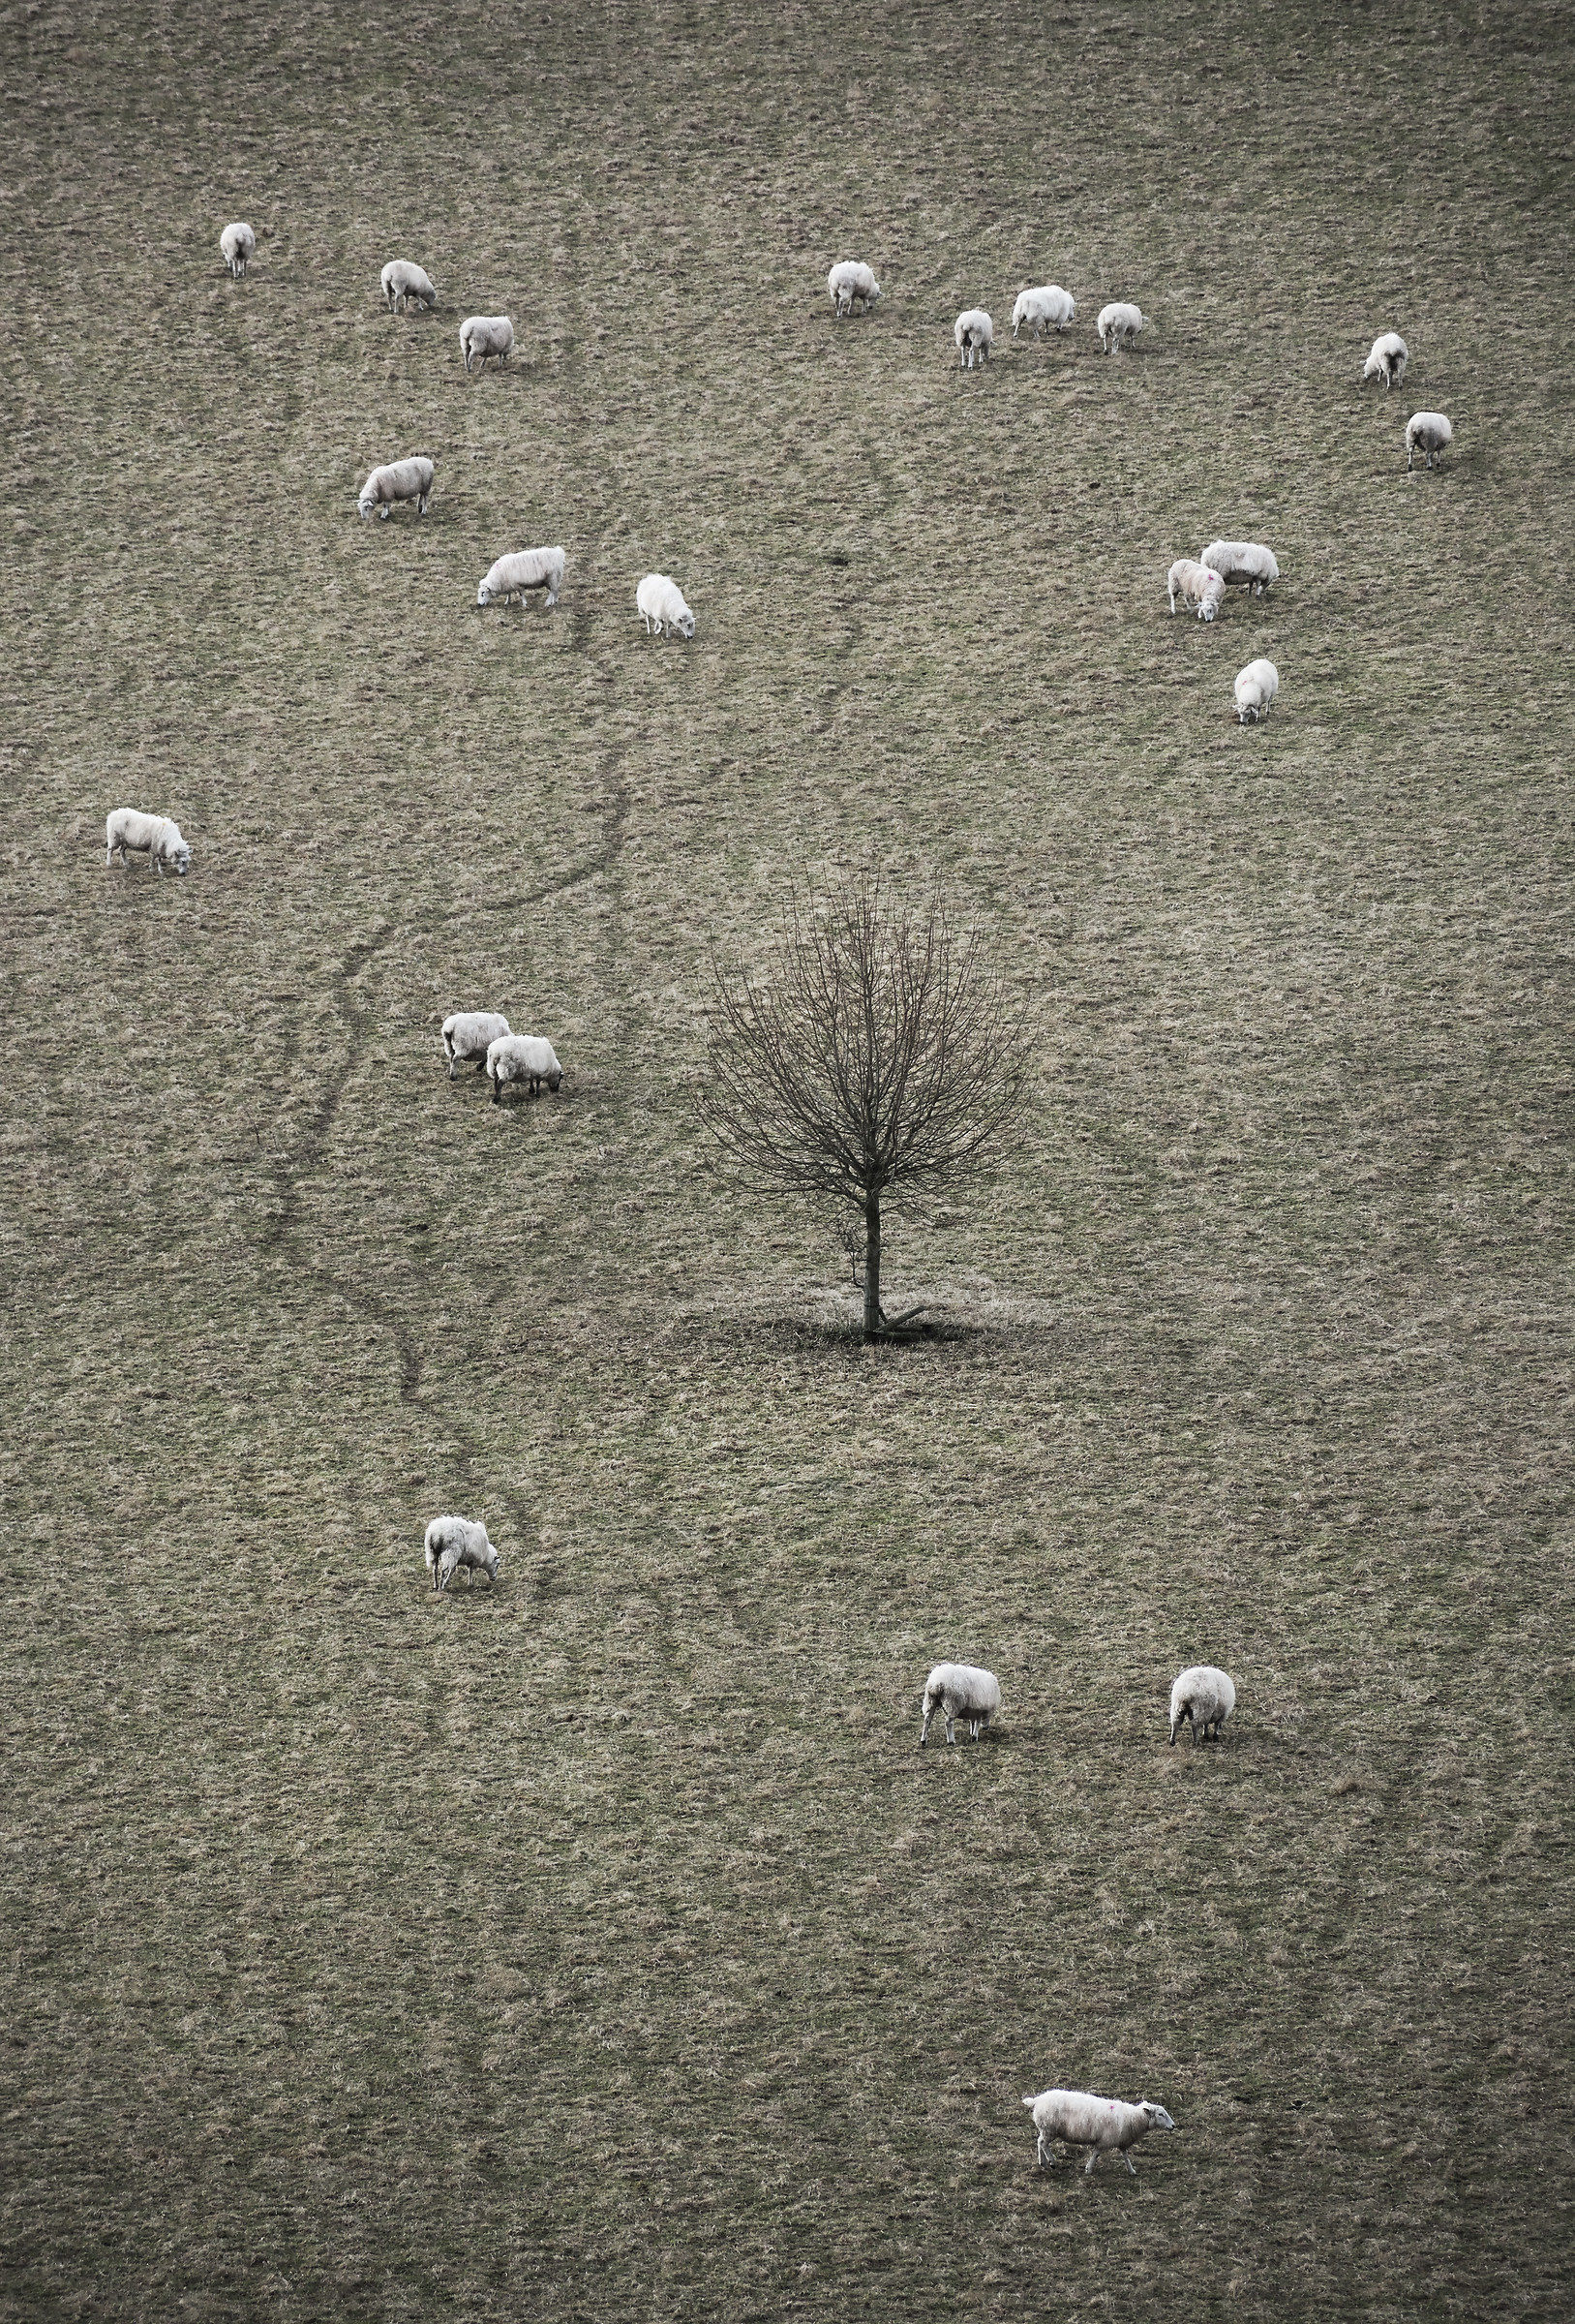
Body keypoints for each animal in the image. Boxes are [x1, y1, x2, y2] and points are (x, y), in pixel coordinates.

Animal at [1022, 2090, 1176, 2176]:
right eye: (1161, 2114)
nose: (1173, 2126)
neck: (1132, 2117)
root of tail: (1037, 2100)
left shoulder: (1121, 2140)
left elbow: (1125, 2156)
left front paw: (1131, 2170)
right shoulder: (1105, 2140)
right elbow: (1096, 2154)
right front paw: (1089, 2169)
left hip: (1046, 2129)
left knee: (1039, 2142)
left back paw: (1043, 2162)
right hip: (1050, 2128)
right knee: (1043, 2143)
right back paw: (1052, 2161)